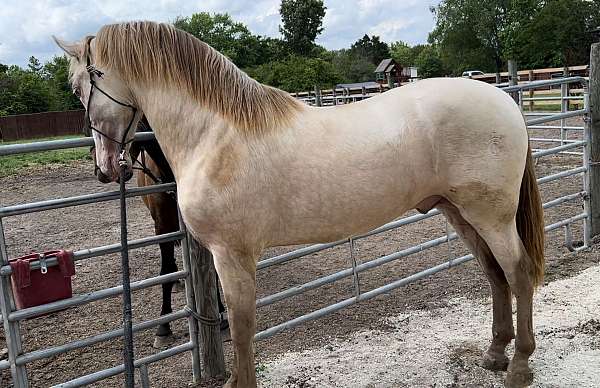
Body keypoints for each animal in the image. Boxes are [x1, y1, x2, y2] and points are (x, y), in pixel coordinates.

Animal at [55, 20, 544, 388]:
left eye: (79, 86)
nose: (105, 168)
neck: (216, 134)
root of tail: (502, 99)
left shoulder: (231, 255)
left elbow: (243, 327)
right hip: (459, 212)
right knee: (495, 274)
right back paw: (494, 354)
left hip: (491, 215)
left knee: (518, 273)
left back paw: (519, 366)